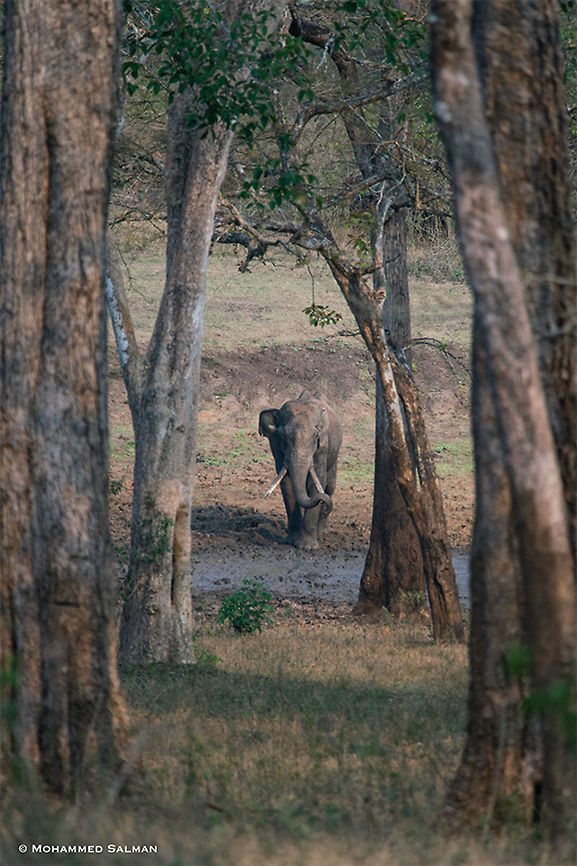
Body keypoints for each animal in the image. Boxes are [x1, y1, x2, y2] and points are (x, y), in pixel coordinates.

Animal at [259, 390, 342, 550]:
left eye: (316, 435)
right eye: (283, 435)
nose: (264, 496)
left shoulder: (322, 446)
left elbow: (317, 481)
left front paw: (307, 547)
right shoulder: (276, 446)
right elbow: (286, 484)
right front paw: (291, 541)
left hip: (335, 454)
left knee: (330, 486)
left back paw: (322, 532)